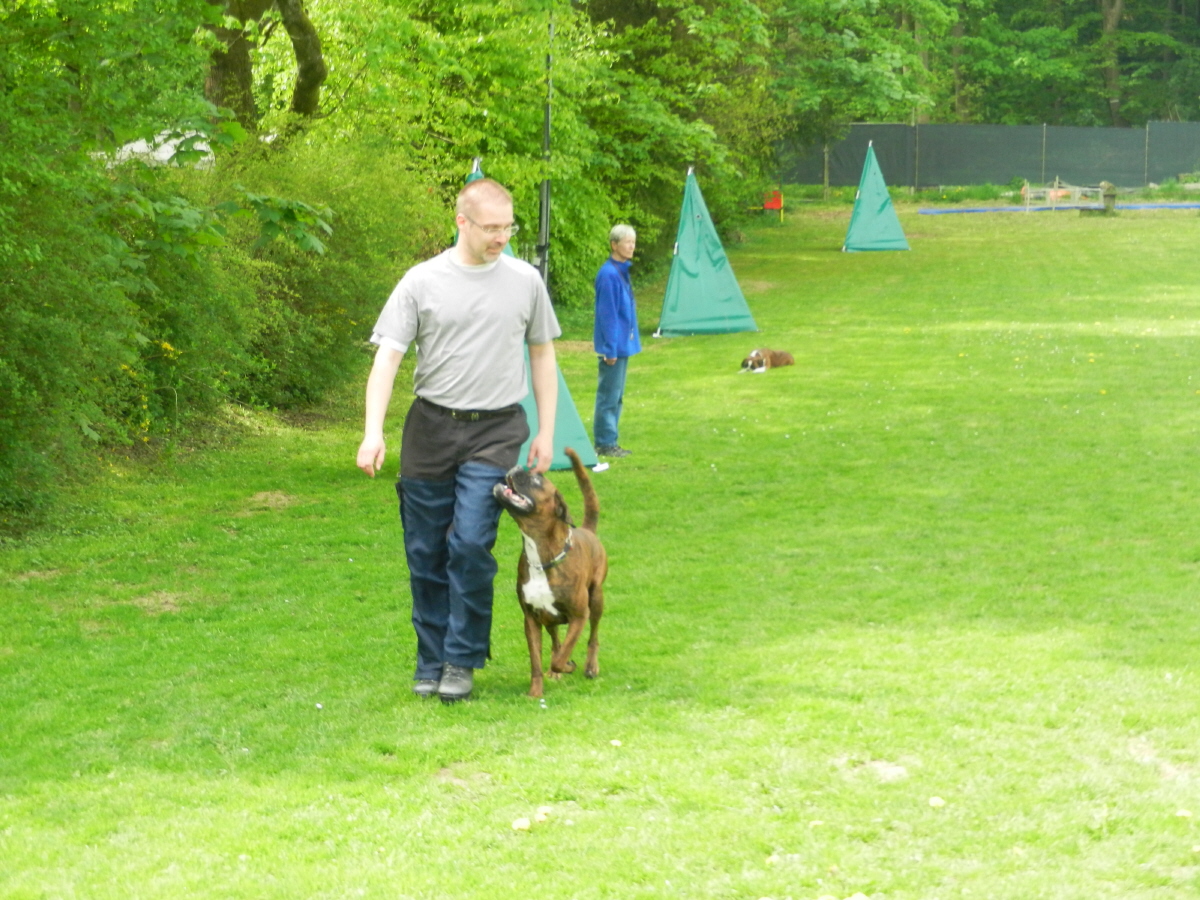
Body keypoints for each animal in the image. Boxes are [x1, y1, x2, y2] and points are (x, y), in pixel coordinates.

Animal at [493, 447, 608, 698]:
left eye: (537, 480)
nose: (518, 467)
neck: (541, 556)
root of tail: (587, 530)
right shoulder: (531, 619)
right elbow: (537, 661)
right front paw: (536, 692)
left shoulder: (579, 616)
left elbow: (561, 657)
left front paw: (568, 666)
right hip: (548, 618)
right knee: (556, 640)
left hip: (596, 599)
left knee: (593, 636)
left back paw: (590, 666)